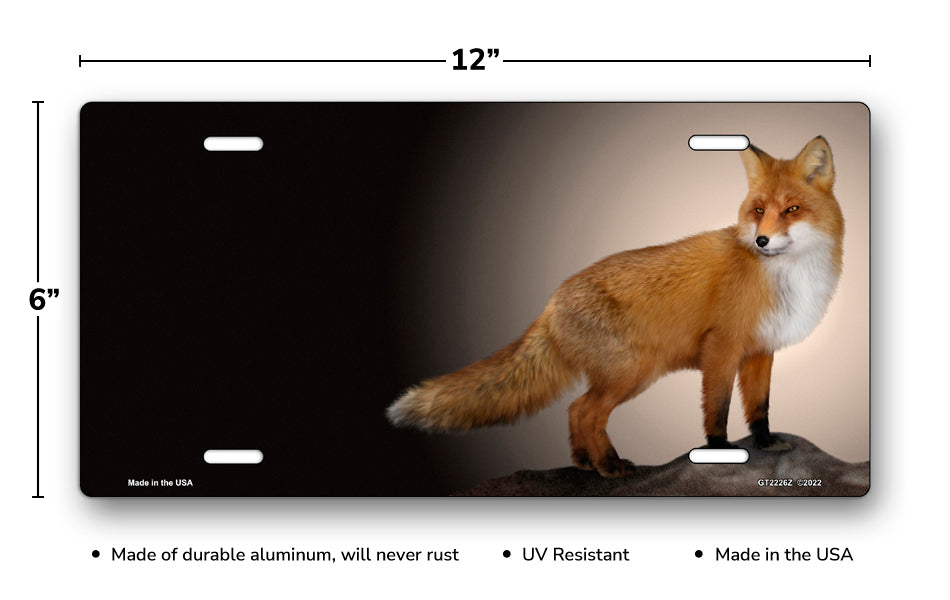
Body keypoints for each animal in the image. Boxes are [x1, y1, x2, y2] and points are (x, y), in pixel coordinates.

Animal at [387, 136, 844, 477]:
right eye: (759, 210)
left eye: (792, 210)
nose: (761, 241)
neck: (784, 276)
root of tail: (552, 300)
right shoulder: (722, 348)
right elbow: (717, 408)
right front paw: (719, 451)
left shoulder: (760, 350)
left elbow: (759, 407)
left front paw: (766, 443)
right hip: (632, 373)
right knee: (587, 412)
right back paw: (609, 466)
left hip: (627, 375)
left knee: (574, 410)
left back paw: (584, 463)